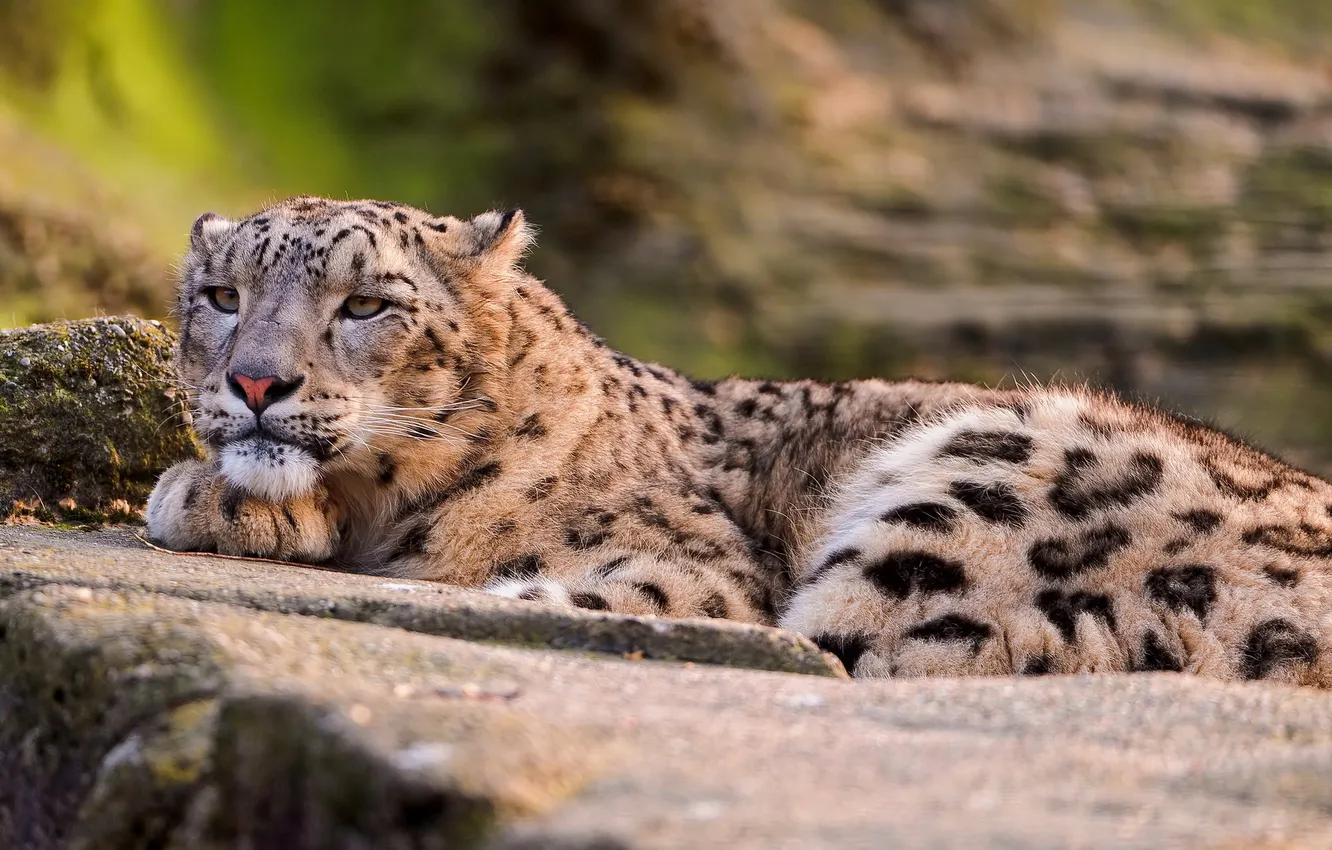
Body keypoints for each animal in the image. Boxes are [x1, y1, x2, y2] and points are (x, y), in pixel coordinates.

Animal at [148, 196, 1332, 687]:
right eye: (221, 294)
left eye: (366, 304)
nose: (257, 380)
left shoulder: (690, 566)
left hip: (977, 488)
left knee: (837, 643)